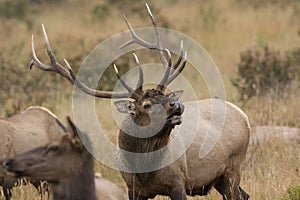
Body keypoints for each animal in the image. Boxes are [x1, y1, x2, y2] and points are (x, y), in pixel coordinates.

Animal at [28, 3, 250, 200]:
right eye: (146, 105)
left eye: (168, 96)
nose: (177, 106)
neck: (143, 171)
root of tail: (243, 115)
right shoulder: (132, 188)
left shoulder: (178, 182)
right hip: (220, 178)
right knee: (244, 195)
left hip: (234, 167)